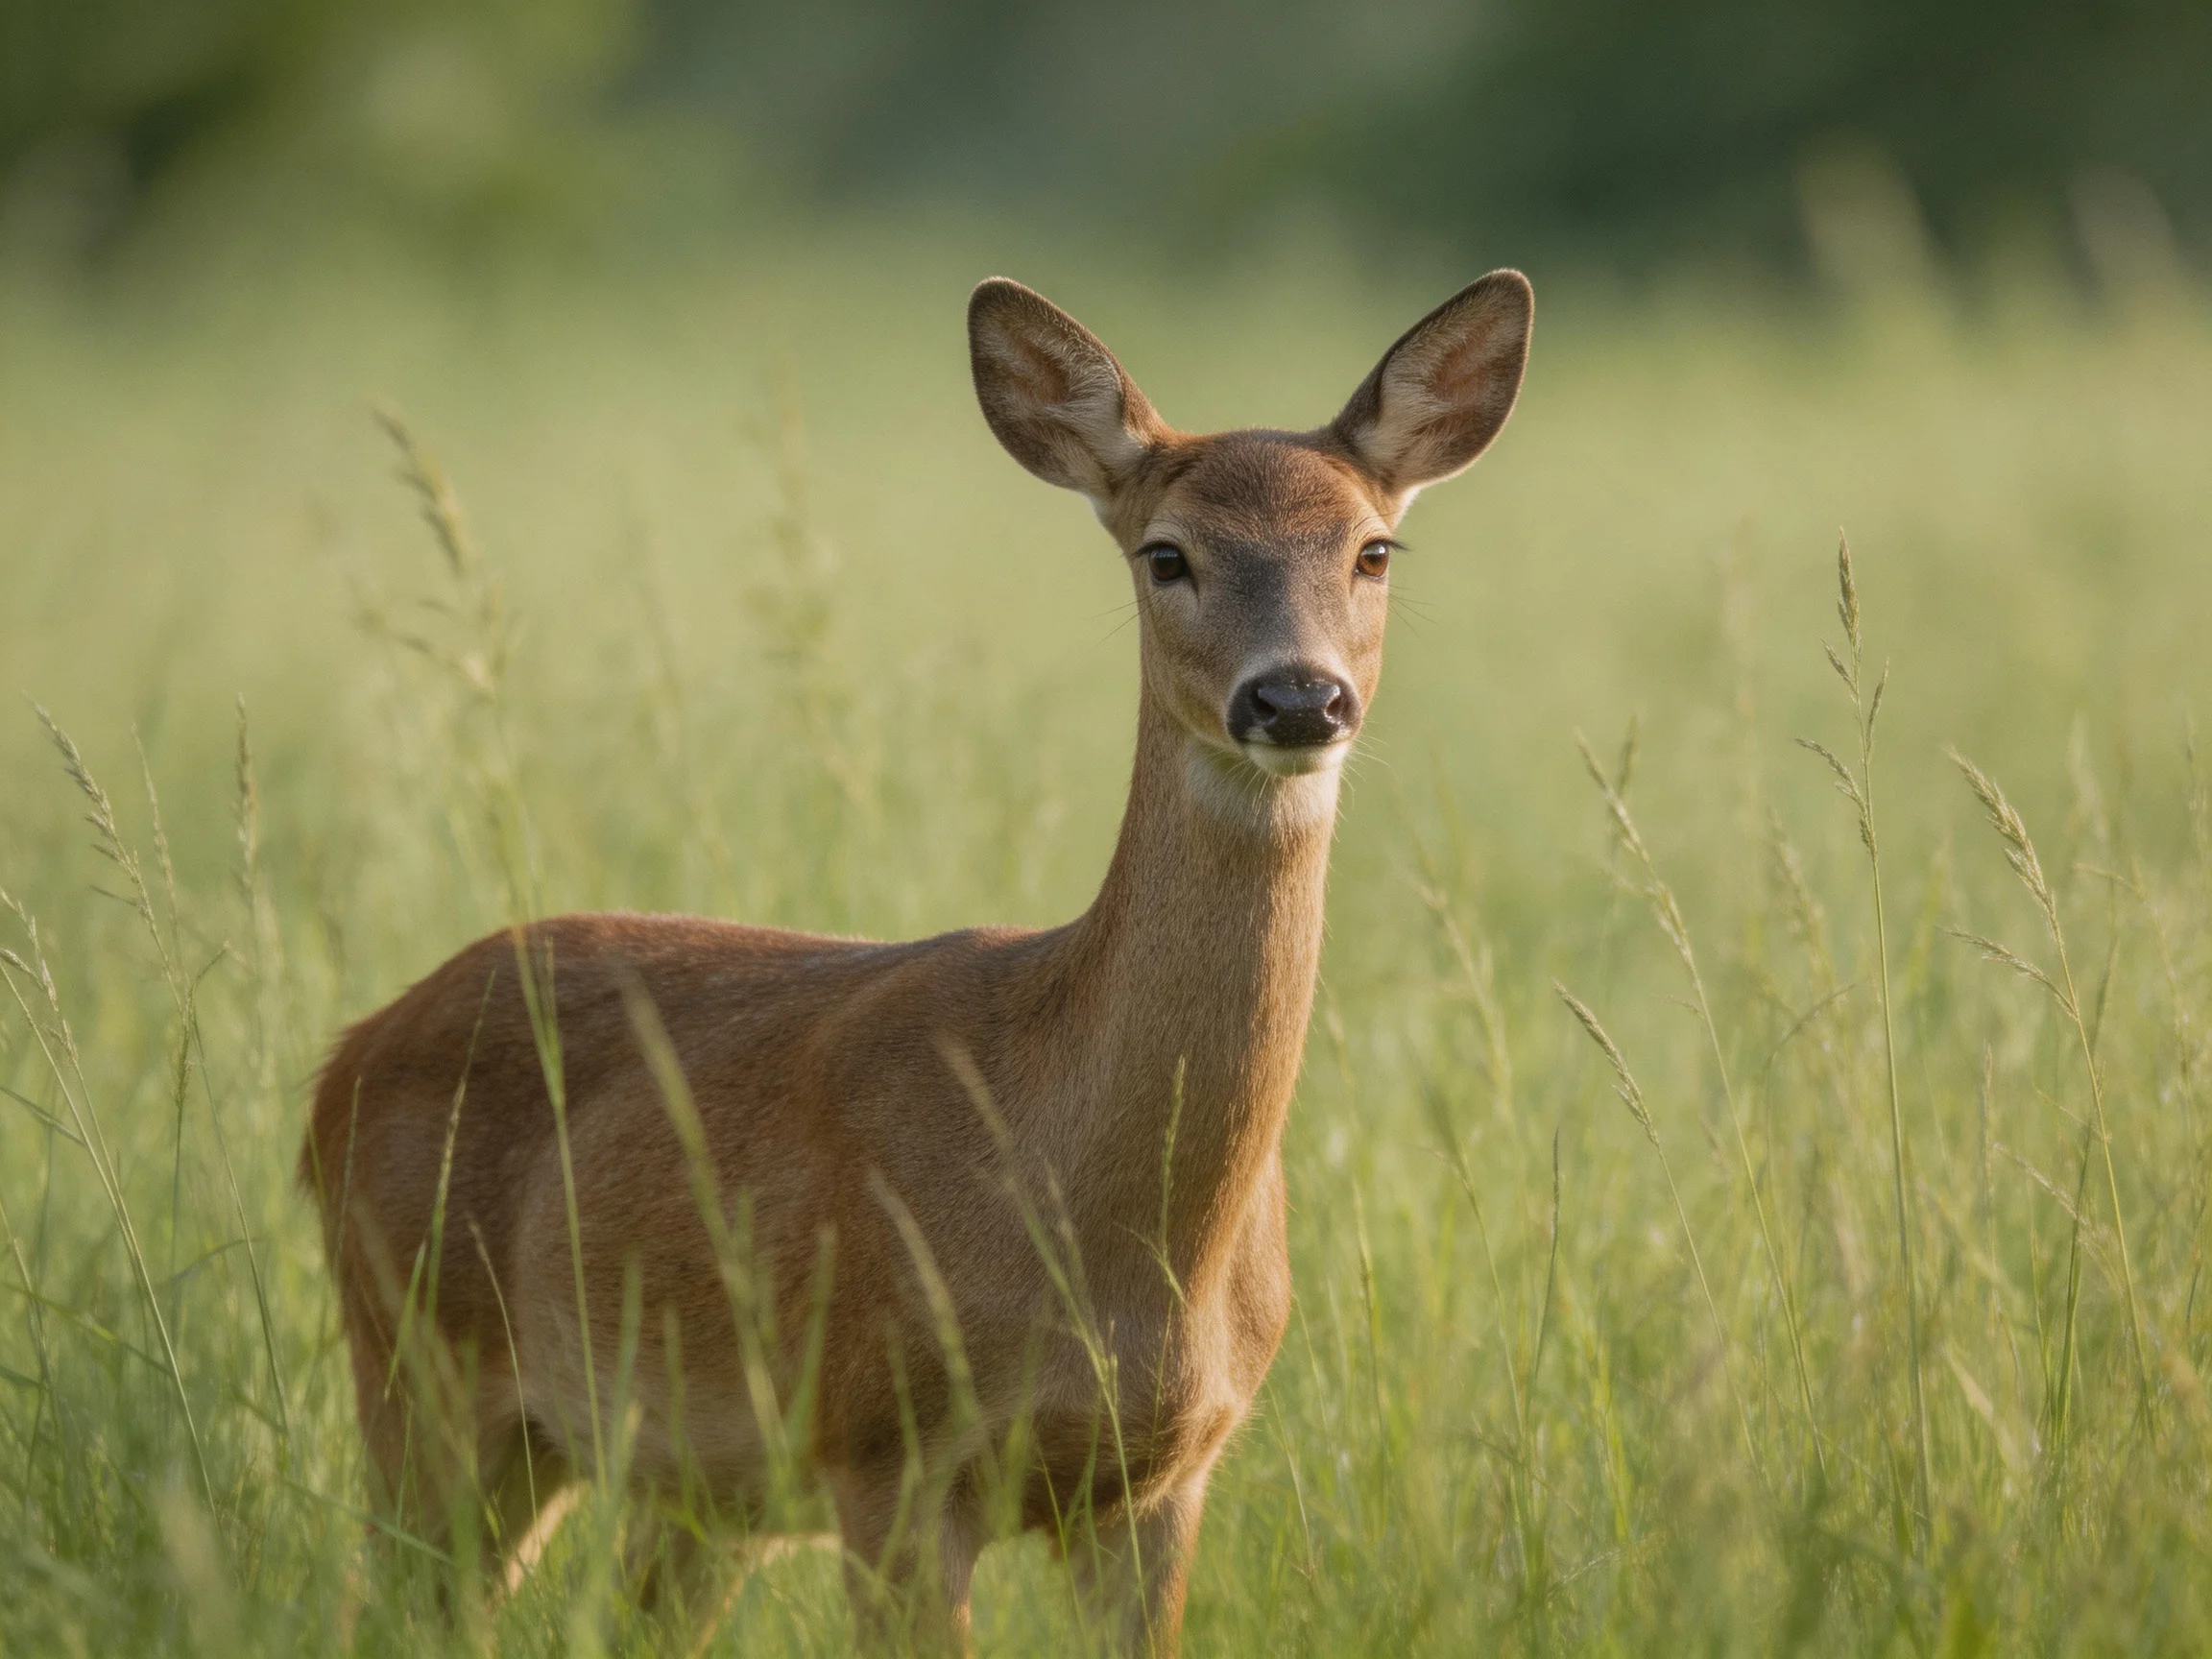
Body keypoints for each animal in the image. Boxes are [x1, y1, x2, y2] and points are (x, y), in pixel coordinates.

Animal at [302, 269, 1533, 1653]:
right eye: (1167, 553)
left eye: (1373, 549)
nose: (1296, 699)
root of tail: (338, 1065)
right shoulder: (883, 1452)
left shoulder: (1165, 1480)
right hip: (417, 1368)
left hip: (676, 1483)